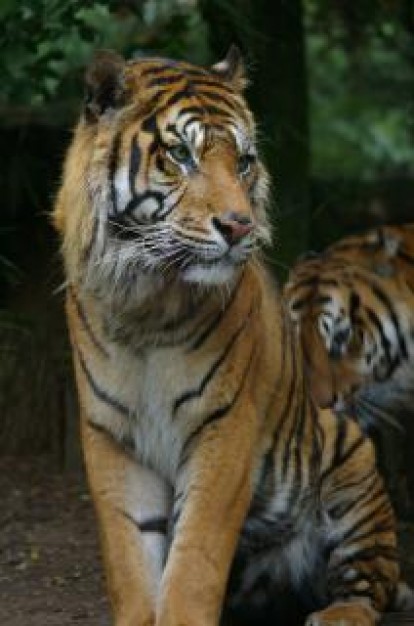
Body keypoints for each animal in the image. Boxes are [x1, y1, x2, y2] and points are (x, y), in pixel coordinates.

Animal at [54, 48, 402, 624]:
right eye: (179, 155)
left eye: (243, 161)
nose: (239, 226)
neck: (146, 305)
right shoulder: (110, 434)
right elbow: (130, 556)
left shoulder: (224, 426)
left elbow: (196, 555)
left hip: (350, 459)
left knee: (369, 583)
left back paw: (336, 613)